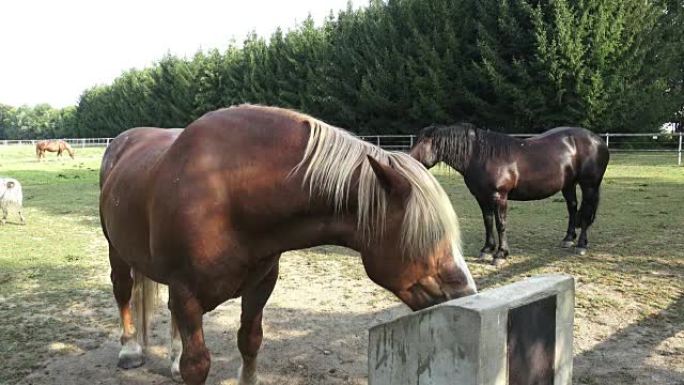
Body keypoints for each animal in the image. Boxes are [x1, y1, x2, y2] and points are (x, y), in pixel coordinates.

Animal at [100, 105, 476, 384]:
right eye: (430, 236)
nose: (467, 293)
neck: (226, 190)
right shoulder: (187, 292)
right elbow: (198, 364)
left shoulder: (260, 285)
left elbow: (250, 341)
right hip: (117, 253)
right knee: (123, 292)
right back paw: (129, 350)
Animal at [412, 124, 608, 266]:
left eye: (424, 142)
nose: (408, 159)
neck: (481, 156)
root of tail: (598, 140)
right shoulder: (482, 198)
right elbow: (488, 222)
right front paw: (487, 250)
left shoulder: (499, 197)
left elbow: (501, 224)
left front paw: (500, 254)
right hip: (568, 185)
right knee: (572, 208)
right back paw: (568, 239)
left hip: (589, 186)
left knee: (586, 212)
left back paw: (581, 245)